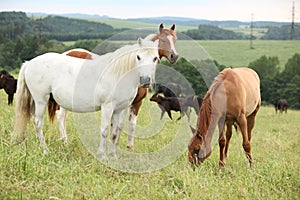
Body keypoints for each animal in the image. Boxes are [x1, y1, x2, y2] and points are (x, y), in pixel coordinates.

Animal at [13, 37, 159, 159]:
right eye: (138, 57)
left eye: (155, 58)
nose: (145, 81)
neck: (117, 73)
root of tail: (29, 63)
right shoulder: (107, 107)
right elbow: (104, 130)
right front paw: (102, 156)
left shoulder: (119, 109)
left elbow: (114, 133)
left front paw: (113, 157)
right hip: (41, 100)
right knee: (38, 123)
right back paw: (45, 150)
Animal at [47, 24, 178, 148]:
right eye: (163, 40)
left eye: (175, 39)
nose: (174, 56)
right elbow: (120, 125)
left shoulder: (136, 102)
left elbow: (131, 124)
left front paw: (129, 146)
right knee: (60, 115)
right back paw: (65, 142)